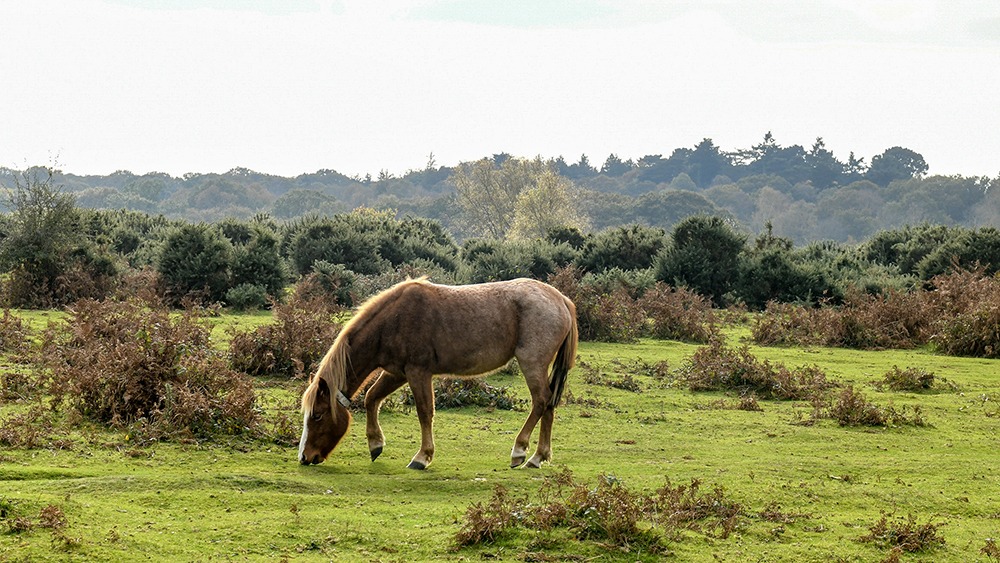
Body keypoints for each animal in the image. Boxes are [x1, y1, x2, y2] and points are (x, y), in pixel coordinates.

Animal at [298, 277, 578, 470]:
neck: (393, 321)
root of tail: (560, 299)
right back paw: (538, 457)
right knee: (549, 404)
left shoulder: (418, 373)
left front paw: (422, 457)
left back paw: (520, 451)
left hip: (532, 363)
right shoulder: (397, 373)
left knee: (541, 401)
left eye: (318, 415)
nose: (304, 457)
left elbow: (425, 413)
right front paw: (375, 444)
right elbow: (371, 398)